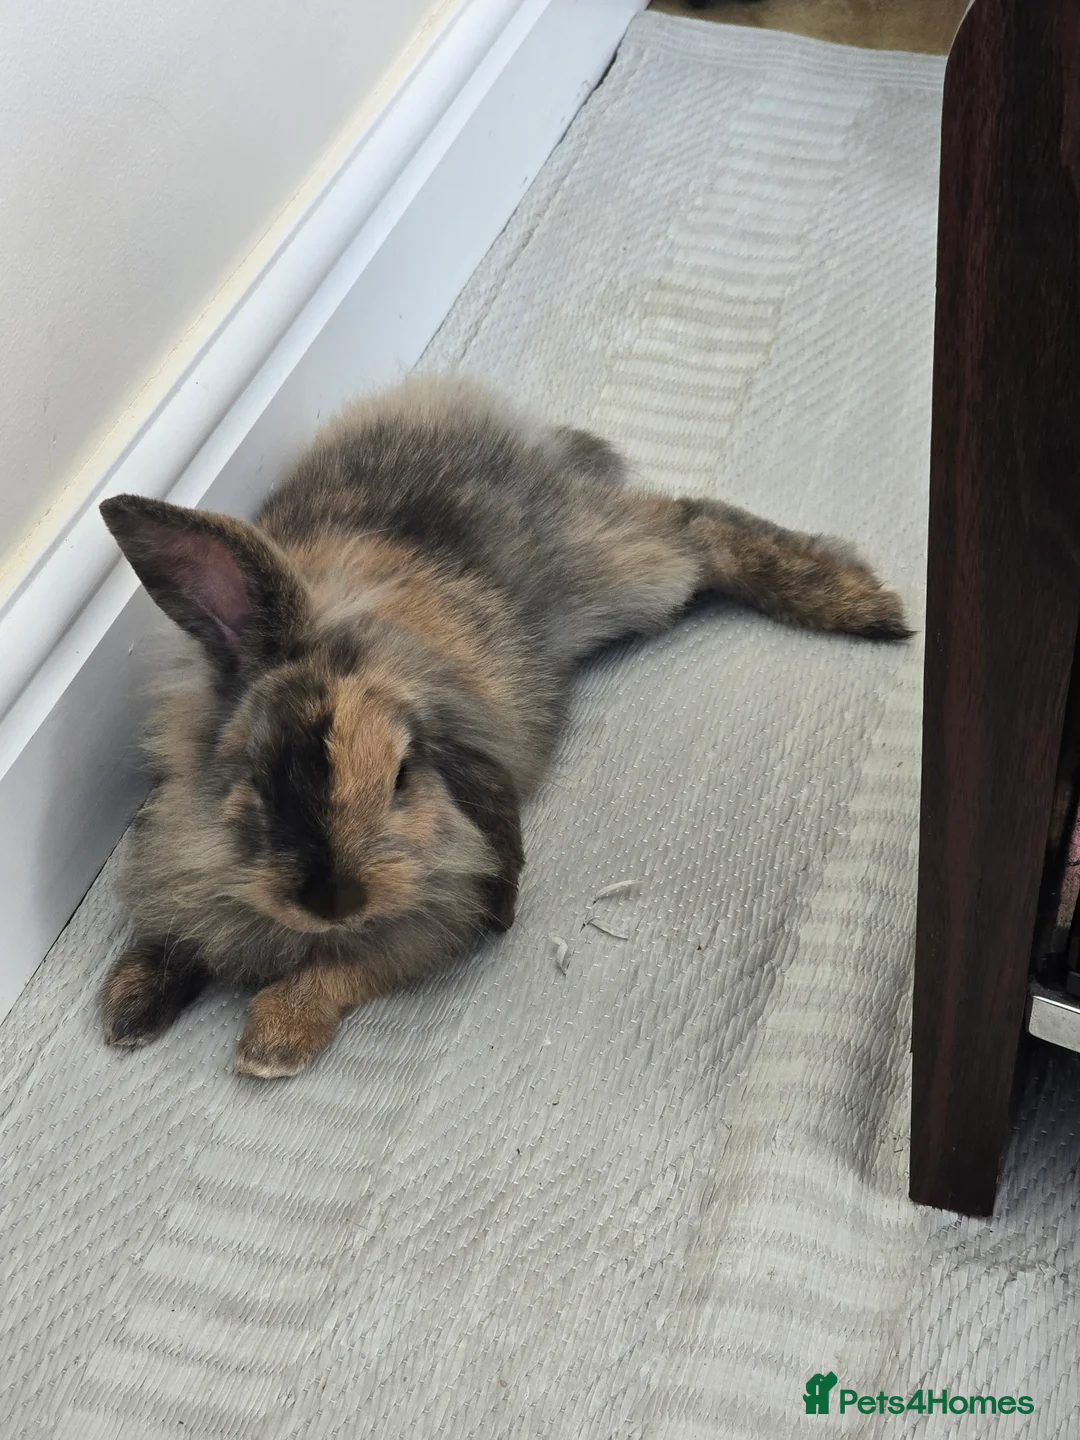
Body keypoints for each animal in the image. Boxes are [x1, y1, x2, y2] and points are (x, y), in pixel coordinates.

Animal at [99, 374, 908, 1078]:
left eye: (402, 776)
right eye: (259, 775)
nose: (333, 902)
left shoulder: (435, 918)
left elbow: (343, 971)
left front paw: (270, 1046)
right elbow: (170, 935)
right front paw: (126, 1013)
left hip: (622, 573)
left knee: (693, 521)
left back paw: (863, 605)